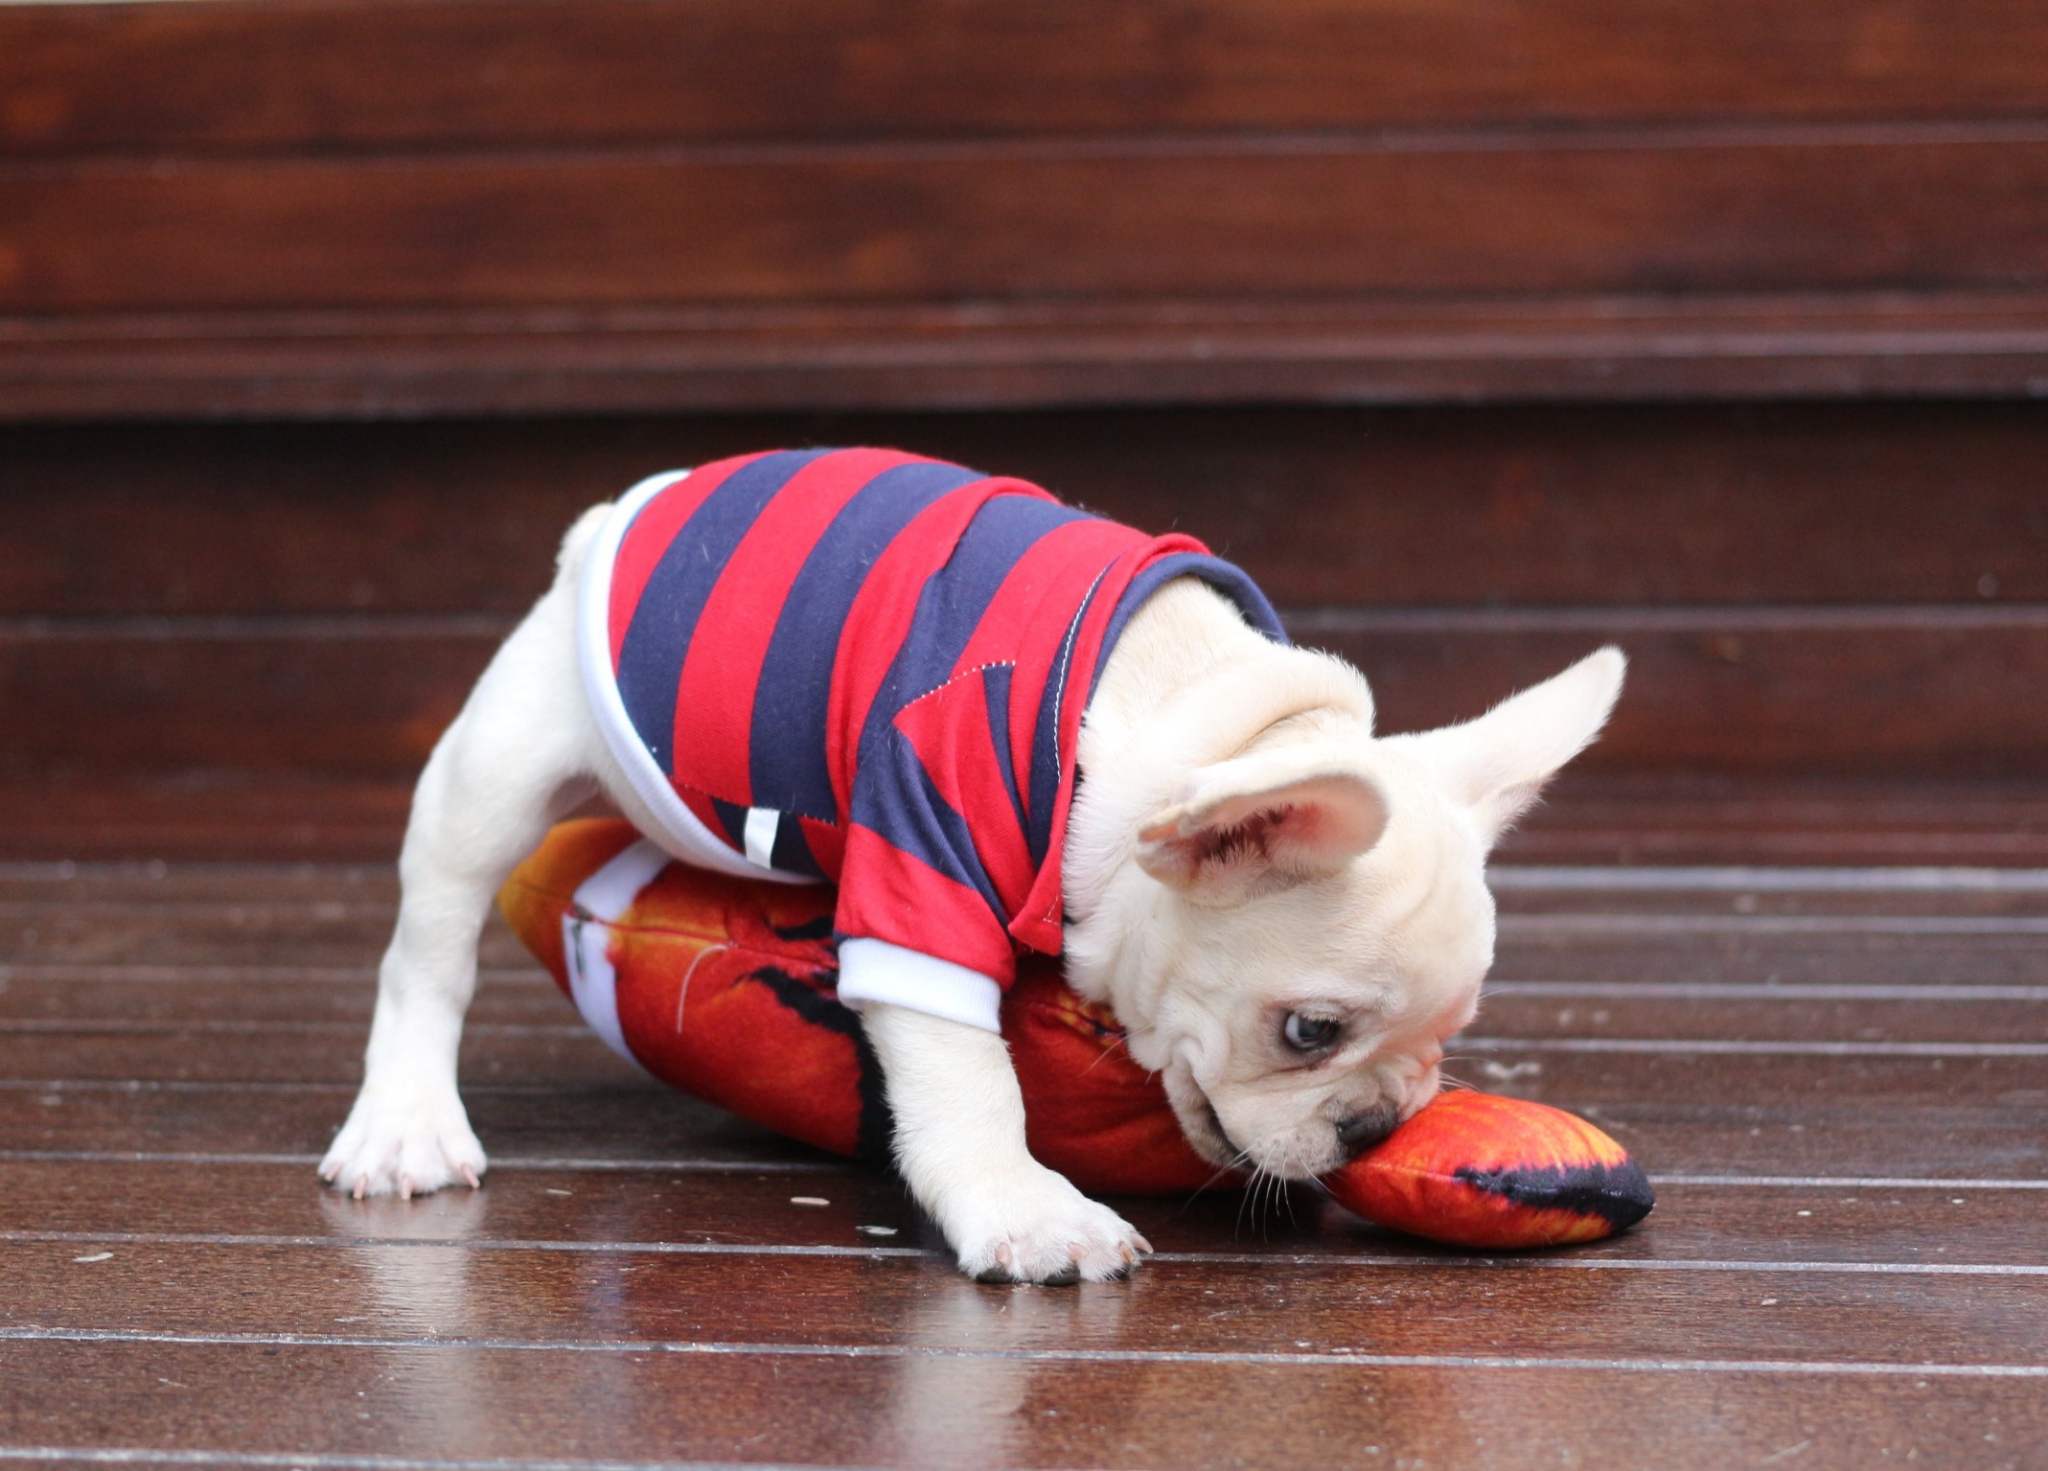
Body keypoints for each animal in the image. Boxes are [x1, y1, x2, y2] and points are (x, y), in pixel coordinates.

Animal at [321, 448, 1624, 1284]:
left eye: (1445, 1038)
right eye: (1309, 1032)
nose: (1369, 1126)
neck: (1197, 715)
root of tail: (622, 515)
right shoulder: (921, 863)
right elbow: (967, 1076)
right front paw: (1025, 1209)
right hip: (503, 762)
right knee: (428, 945)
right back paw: (404, 1124)